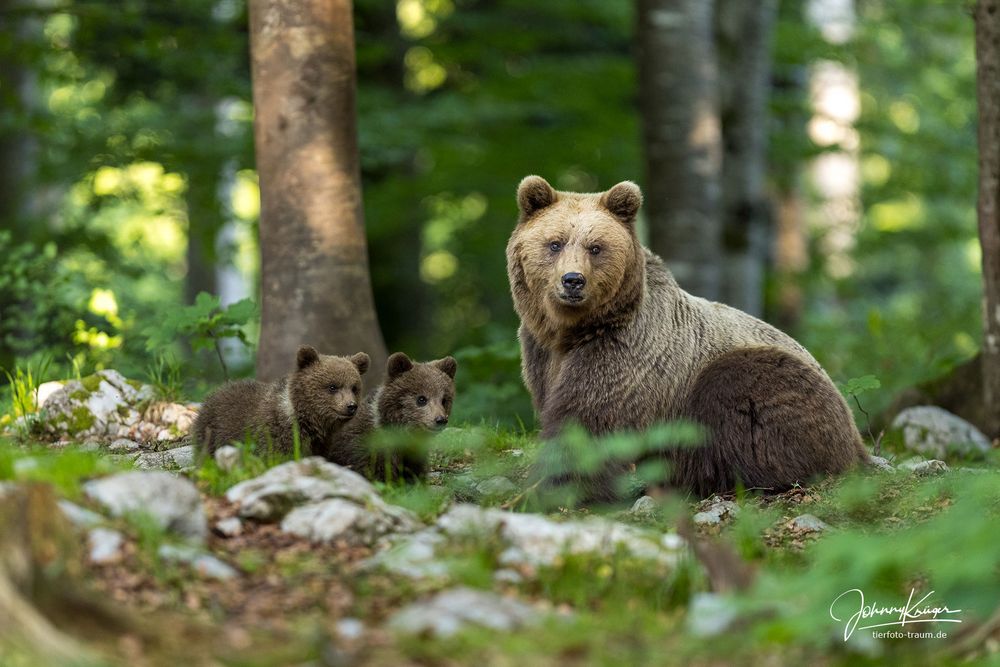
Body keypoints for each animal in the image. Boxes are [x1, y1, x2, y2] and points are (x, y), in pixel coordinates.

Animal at [504, 177, 872, 500]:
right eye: (555, 243)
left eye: (596, 247)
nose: (572, 280)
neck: (574, 330)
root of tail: (855, 435)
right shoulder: (540, 353)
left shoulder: (622, 353)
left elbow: (585, 423)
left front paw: (552, 488)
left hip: (766, 383)